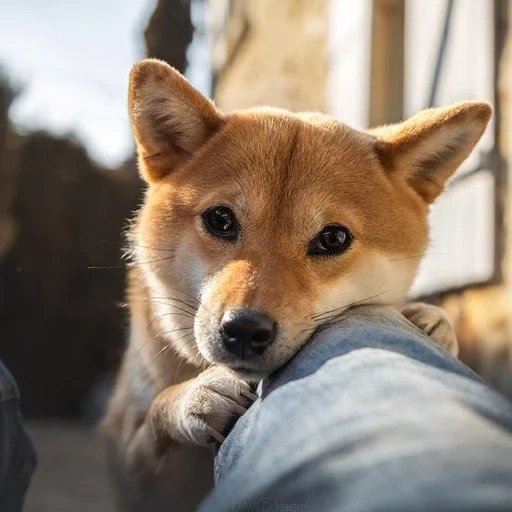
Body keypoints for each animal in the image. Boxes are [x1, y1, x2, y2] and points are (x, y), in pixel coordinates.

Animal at [101, 58, 492, 510]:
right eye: (220, 219)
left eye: (333, 238)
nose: (244, 330)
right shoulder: (128, 461)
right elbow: (154, 415)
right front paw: (193, 396)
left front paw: (430, 319)